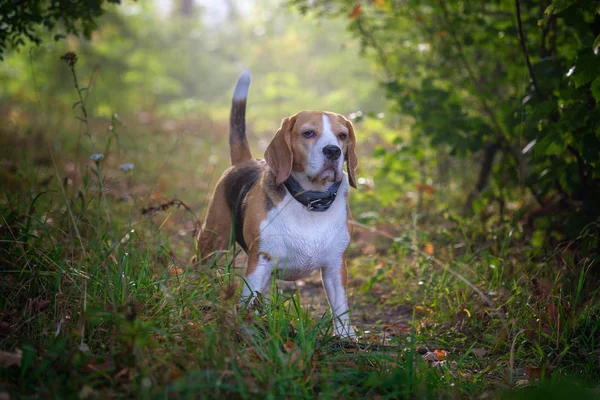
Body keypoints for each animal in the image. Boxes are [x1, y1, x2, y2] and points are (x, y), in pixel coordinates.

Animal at [199, 70, 358, 340]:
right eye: (308, 133)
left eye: (342, 136)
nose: (333, 151)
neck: (310, 201)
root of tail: (245, 161)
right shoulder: (260, 260)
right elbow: (247, 299)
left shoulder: (336, 266)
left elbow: (340, 307)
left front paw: (348, 339)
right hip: (213, 240)